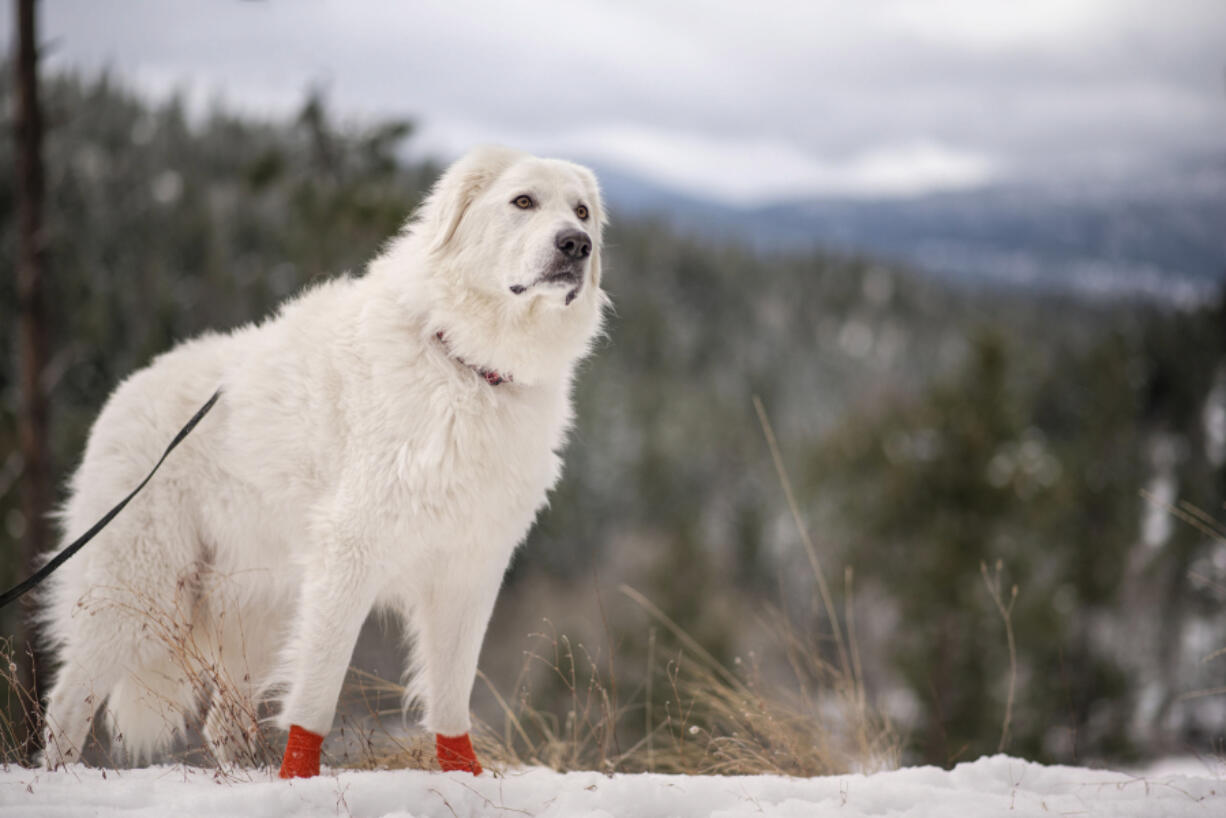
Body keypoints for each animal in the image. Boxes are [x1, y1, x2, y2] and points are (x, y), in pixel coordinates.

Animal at [37, 144, 608, 779]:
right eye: (523, 201)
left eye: (582, 212)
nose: (576, 245)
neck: (465, 366)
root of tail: (126, 392)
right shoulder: (349, 553)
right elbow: (317, 691)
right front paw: (299, 778)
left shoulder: (468, 566)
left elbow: (450, 694)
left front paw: (465, 776)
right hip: (137, 590)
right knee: (68, 701)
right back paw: (59, 778)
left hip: (256, 609)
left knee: (221, 723)